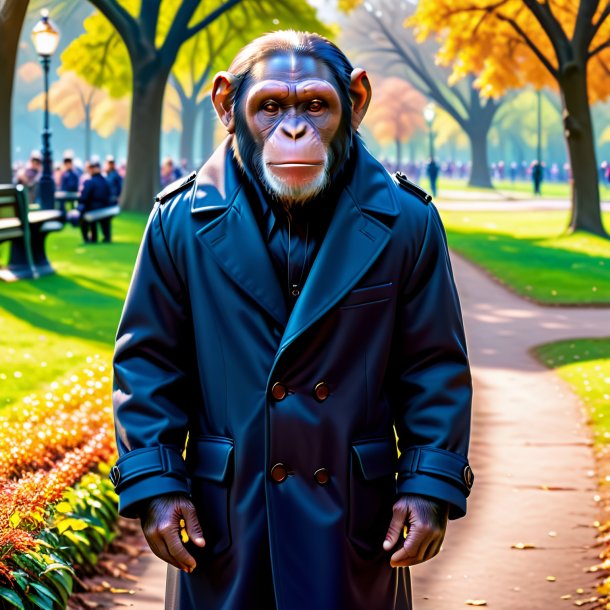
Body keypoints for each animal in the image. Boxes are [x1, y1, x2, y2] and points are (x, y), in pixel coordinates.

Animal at [110, 29, 470, 610]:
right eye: (272, 107)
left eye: (317, 106)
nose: (296, 130)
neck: (293, 215)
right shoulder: (161, 232)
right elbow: (151, 356)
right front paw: (165, 512)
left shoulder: (427, 235)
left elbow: (431, 363)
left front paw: (422, 512)